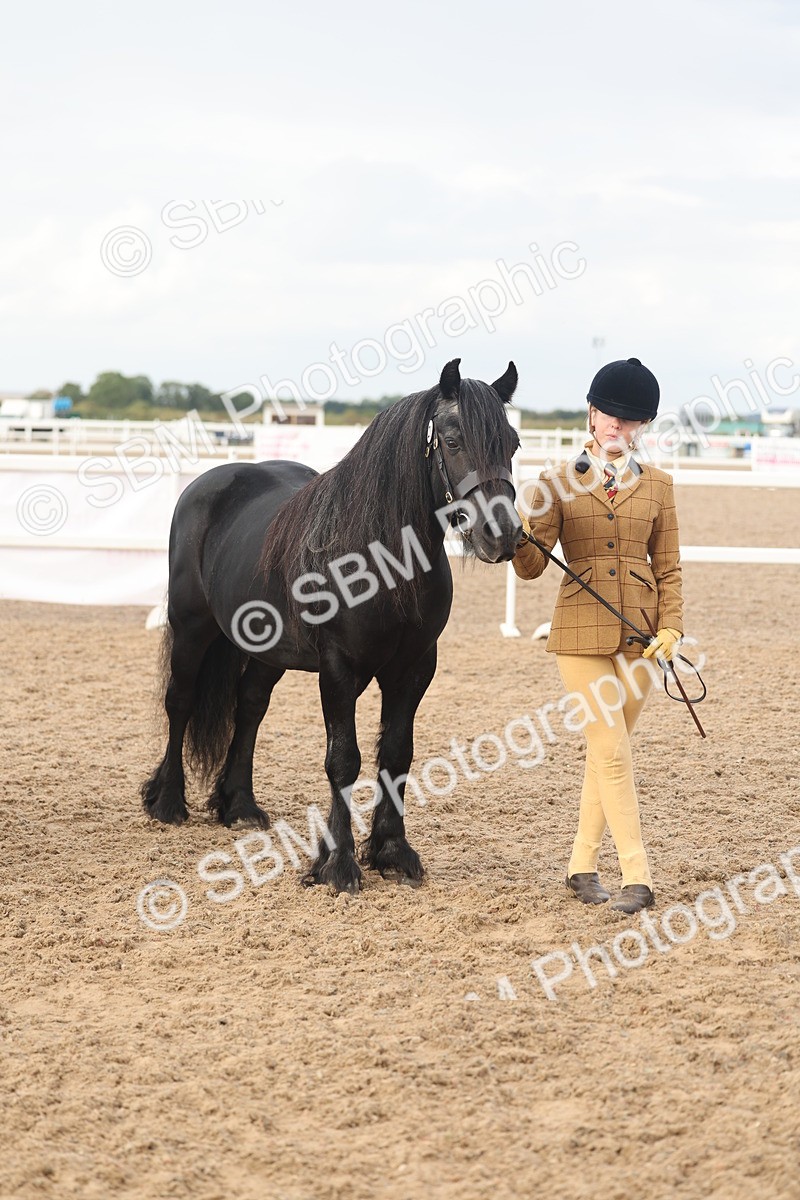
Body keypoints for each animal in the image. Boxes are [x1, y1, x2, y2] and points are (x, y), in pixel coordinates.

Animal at [141, 358, 522, 893]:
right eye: (452, 440)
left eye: (513, 443)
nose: (503, 535)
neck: (381, 559)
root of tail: (207, 484)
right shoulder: (339, 669)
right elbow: (344, 760)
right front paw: (338, 863)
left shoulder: (414, 669)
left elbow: (396, 754)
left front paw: (392, 852)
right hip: (192, 629)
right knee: (179, 702)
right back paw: (168, 801)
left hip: (267, 651)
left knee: (249, 707)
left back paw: (240, 805)